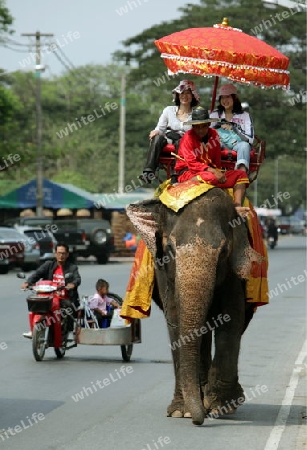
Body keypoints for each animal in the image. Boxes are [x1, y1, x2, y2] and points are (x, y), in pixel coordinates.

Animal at [126, 186, 262, 426]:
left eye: (224, 251)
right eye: (170, 248)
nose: (198, 422)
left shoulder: (234, 274)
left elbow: (231, 319)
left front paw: (219, 406)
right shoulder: (163, 271)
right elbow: (175, 321)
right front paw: (182, 412)